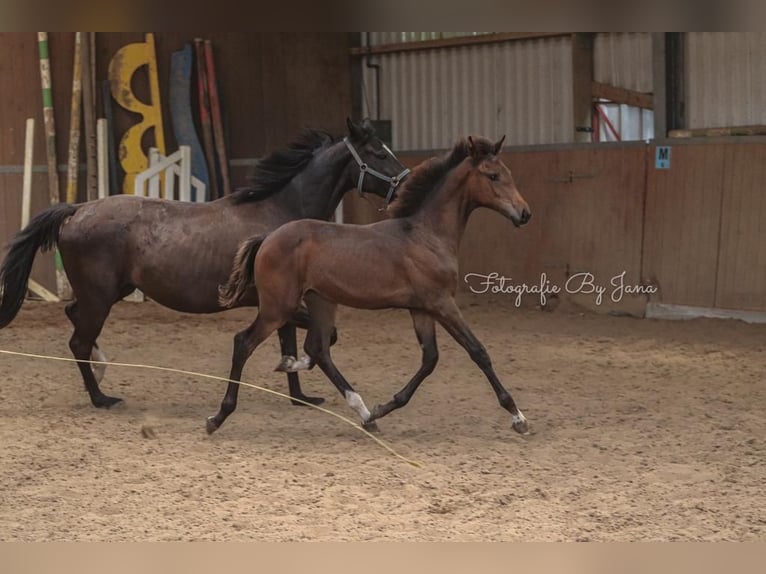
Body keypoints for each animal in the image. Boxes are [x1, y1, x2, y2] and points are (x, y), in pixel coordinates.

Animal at [0, 119, 412, 412]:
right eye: (377, 153)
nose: (406, 184)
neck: (283, 212)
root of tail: (77, 209)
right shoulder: (278, 305)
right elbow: (319, 339)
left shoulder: (282, 306)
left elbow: (291, 344)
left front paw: (301, 398)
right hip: (100, 296)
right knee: (78, 340)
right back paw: (102, 398)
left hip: (109, 292)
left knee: (74, 319)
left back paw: (102, 372)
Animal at [210, 136, 536, 436]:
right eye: (493, 176)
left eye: (507, 172)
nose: (524, 214)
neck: (425, 234)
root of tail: (267, 237)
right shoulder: (442, 303)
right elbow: (478, 351)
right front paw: (518, 417)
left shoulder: (421, 309)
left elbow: (430, 359)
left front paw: (383, 408)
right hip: (278, 307)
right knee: (244, 343)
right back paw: (218, 417)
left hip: (320, 300)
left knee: (318, 349)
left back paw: (358, 409)